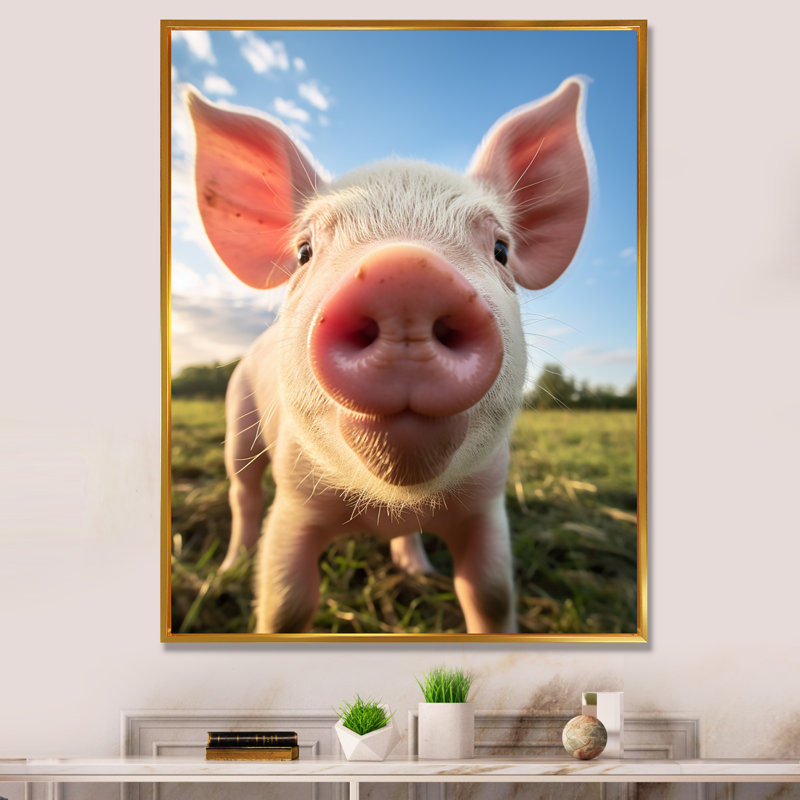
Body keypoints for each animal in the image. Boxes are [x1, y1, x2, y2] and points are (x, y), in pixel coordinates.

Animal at [185, 77, 591, 634]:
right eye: (304, 252)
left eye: (502, 250)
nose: (405, 274)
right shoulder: (294, 497)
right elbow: (287, 603)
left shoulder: (487, 501)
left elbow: (489, 595)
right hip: (238, 417)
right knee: (242, 494)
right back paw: (229, 567)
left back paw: (418, 572)